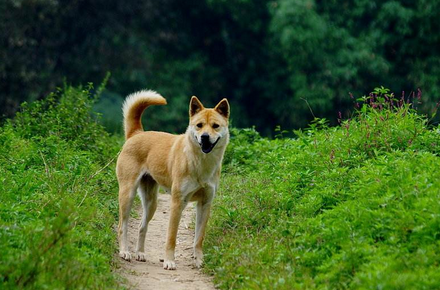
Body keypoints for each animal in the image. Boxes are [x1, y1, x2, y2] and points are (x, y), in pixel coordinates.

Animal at [115, 89, 230, 270]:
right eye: (199, 125)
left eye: (215, 126)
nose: (204, 137)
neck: (200, 163)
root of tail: (137, 133)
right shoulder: (177, 202)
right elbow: (171, 237)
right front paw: (169, 261)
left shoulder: (205, 204)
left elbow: (199, 238)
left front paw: (199, 260)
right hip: (128, 194)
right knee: (122, 226)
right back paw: (124, 251)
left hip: (151, 202)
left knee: (142, 227)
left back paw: (140, 253)